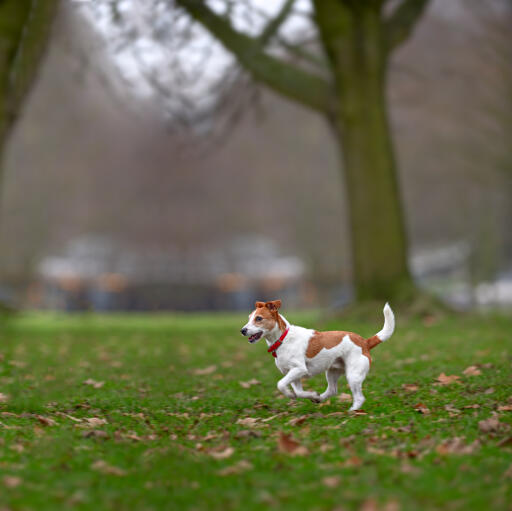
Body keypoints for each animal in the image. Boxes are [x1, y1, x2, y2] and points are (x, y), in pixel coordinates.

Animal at [241, 302, 396, 410]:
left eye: (259, 318)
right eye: (249, 318)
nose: (243, 330)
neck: (283, 339)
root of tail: (365, 342)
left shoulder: (299, 369)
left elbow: (280, 384)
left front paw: (290, 394)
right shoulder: (293, 374)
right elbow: (299, 392)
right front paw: (310, 395)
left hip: (353, 375)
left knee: (359, 397)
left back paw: (352, 411)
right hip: (332, 371)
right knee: (332, 390)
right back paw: (320, 398)